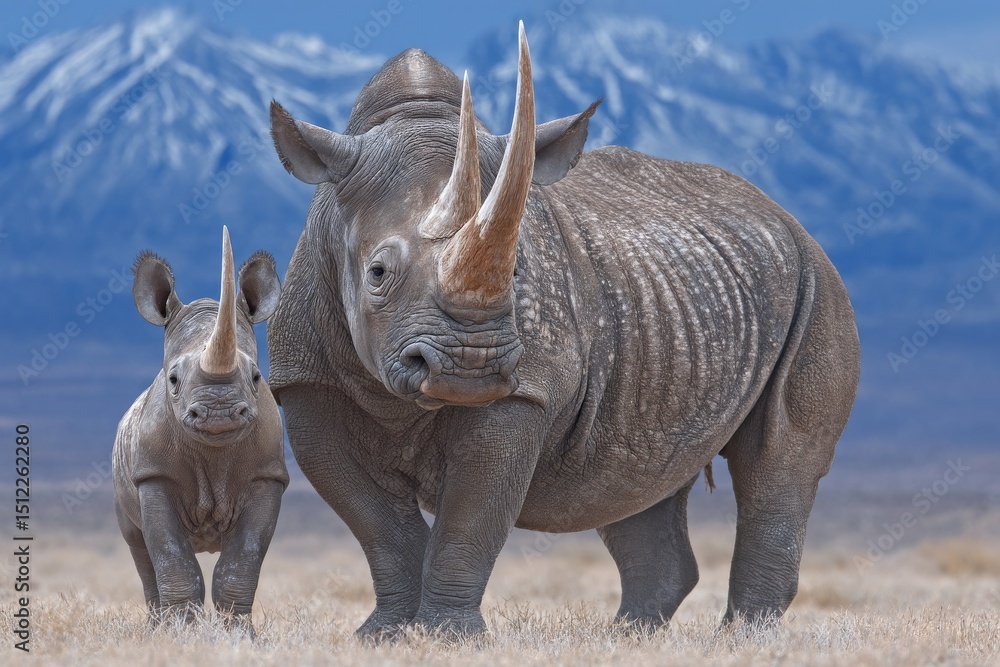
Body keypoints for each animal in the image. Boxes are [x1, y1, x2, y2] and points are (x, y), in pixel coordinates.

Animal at [113, 227, 288, 632]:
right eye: (173, 380)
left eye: (257, 377)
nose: (218, 413)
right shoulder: (154, 474)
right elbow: (171, 558)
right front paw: (179, 633)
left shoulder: (267, 475)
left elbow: (241, 563)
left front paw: (238, 635)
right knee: (138, 548)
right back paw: (154, 627)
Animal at [267, 23, 860, 637]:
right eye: (378, 274)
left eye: (516, 272)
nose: (469, 366)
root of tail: (785, 217)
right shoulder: (307, 382)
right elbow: (378, 524)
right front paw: (387, 635)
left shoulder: (524, 387)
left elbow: (470, 519)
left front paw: (447, 637)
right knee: (631, 475)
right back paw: (629, 637)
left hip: (816, 283)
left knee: (778, 460)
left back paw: (738, 639)